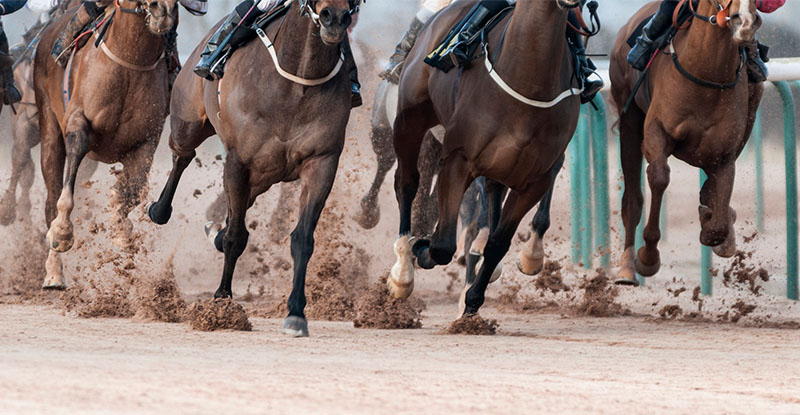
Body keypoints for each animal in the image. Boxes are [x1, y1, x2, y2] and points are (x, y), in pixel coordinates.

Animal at [34, 0, 178, 290]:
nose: (163, 11)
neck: (130, 61)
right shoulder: (78, 122)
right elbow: (66, 191)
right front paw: (62, 233)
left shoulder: (147, 140)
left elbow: (130, 191)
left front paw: (121, 229)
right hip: (49, 126)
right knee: (51, 196)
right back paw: (54, 273)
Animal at [148, 0, 360, 338]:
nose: (334, 18)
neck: (297, 81)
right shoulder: (239, 161)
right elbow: (235, 236)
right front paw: (222, 302)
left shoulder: (322, 161)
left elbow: (302, 238)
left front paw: (296, 313)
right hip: (188, 122)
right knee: (182, 156)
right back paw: (159, 209)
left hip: (265, 175)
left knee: (241, 202)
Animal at [392, 0, 584, 318]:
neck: (528, 80)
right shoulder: (458, 159)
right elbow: (442, 245)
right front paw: (422, 248)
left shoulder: (536, 179)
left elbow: (498, 242)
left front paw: (473, 299)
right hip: (410, 120)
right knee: (406, 184)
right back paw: (403, 271)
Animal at [612, 0, 764, 286]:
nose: (746, 23)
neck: (705, 73)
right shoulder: (656, 132)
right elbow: (659, 178)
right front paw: (648, 258)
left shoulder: (724, 154)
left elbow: (718, 223)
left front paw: (717, 229)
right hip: (628, 120)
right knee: (633, 199)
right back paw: (626, 268)